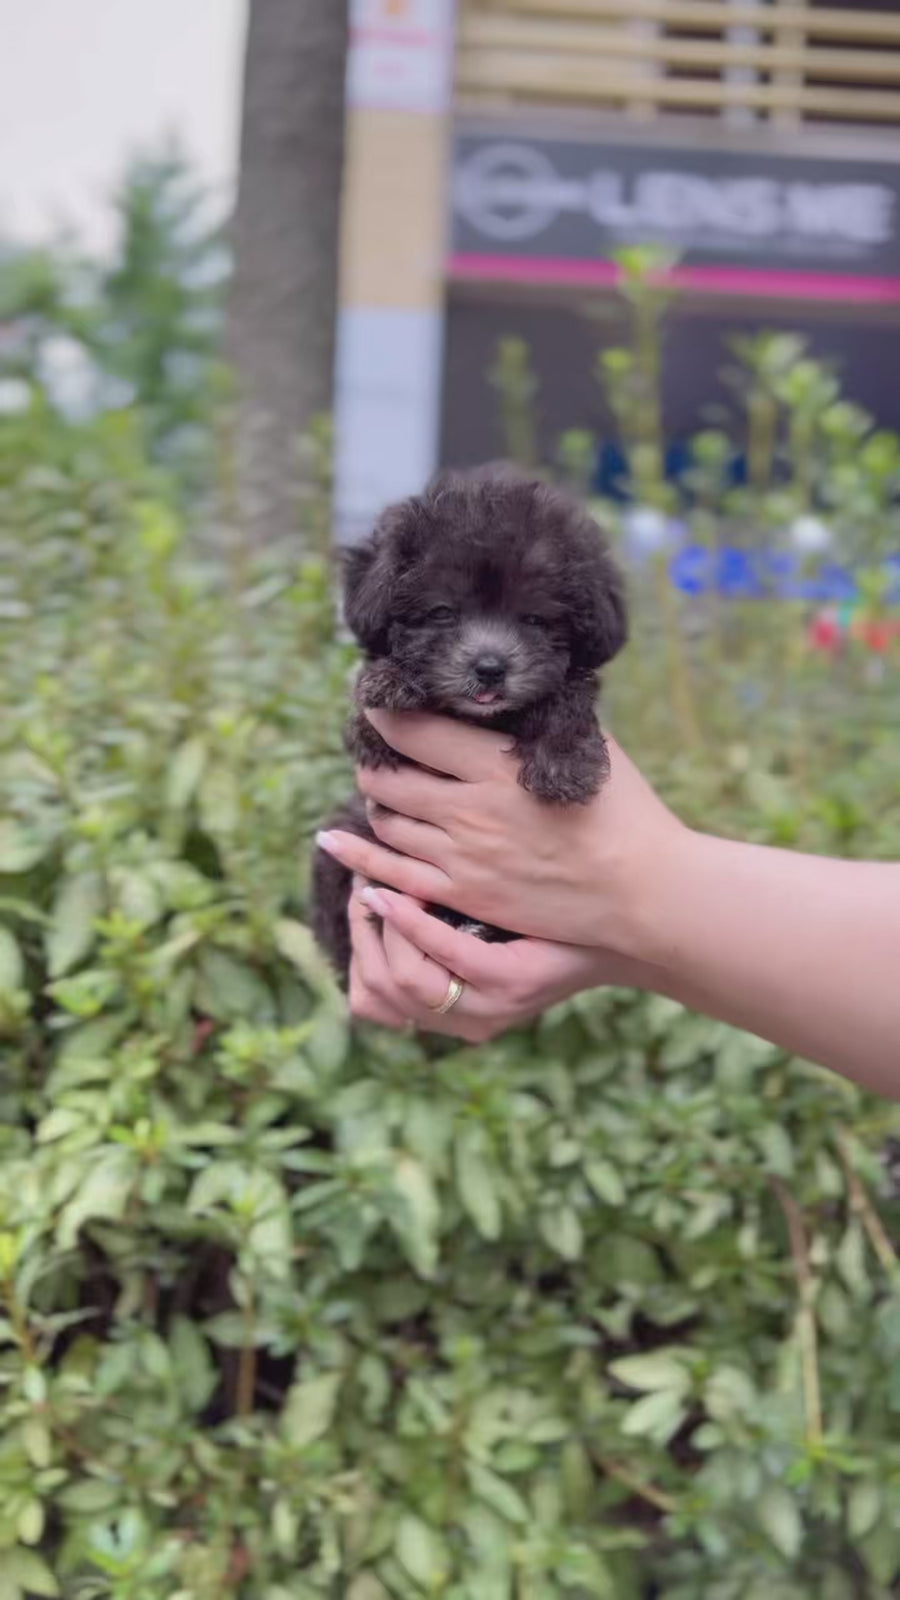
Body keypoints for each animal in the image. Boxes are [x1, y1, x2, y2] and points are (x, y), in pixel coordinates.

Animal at [310, 467, 624, 985]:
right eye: (442, 611)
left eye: (534, 618)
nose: (491, 667)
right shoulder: (373, 743)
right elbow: (370, 717)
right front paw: (392, 679)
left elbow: (567, 696)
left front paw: (565, 763)